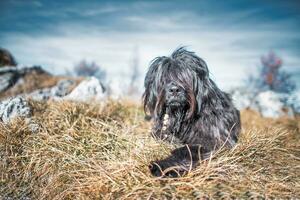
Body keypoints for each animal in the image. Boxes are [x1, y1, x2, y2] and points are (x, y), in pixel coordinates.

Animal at [143, 47, 241, 177]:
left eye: (185, 77)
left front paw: (162, 166)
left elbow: (187, 150)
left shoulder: (216, 140)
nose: (174, 90)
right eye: (164, 78)